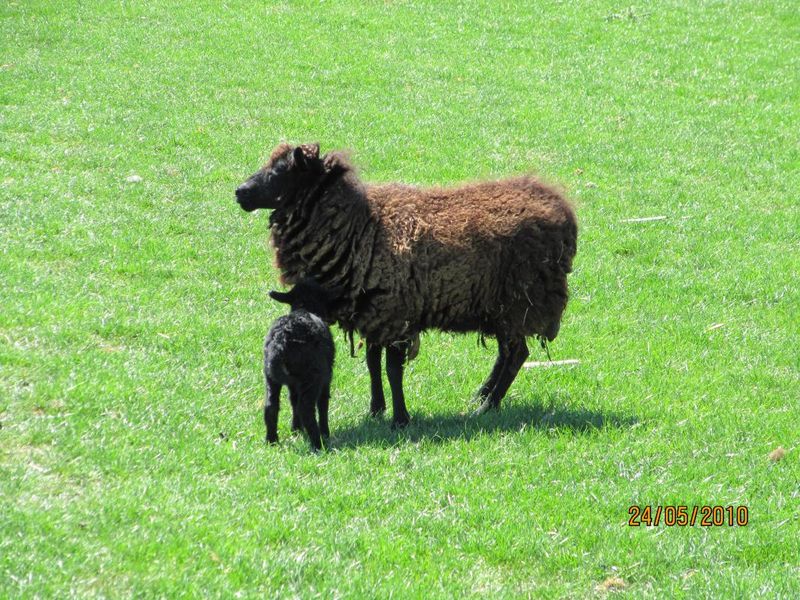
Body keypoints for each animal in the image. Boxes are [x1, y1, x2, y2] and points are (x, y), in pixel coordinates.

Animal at [234, 143, 580, 428]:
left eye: (281, 170)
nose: (240, 192)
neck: (360, 227)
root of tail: (561, 208)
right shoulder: (373, 313)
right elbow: (373, 364)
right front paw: (376, 409)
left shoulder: (395, 314)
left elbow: (392, 370)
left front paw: (400, 418)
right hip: (500, 307)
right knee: (507, 354)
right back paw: (482, 395)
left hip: (522, 301)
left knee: (517, 354)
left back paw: (487, 406)